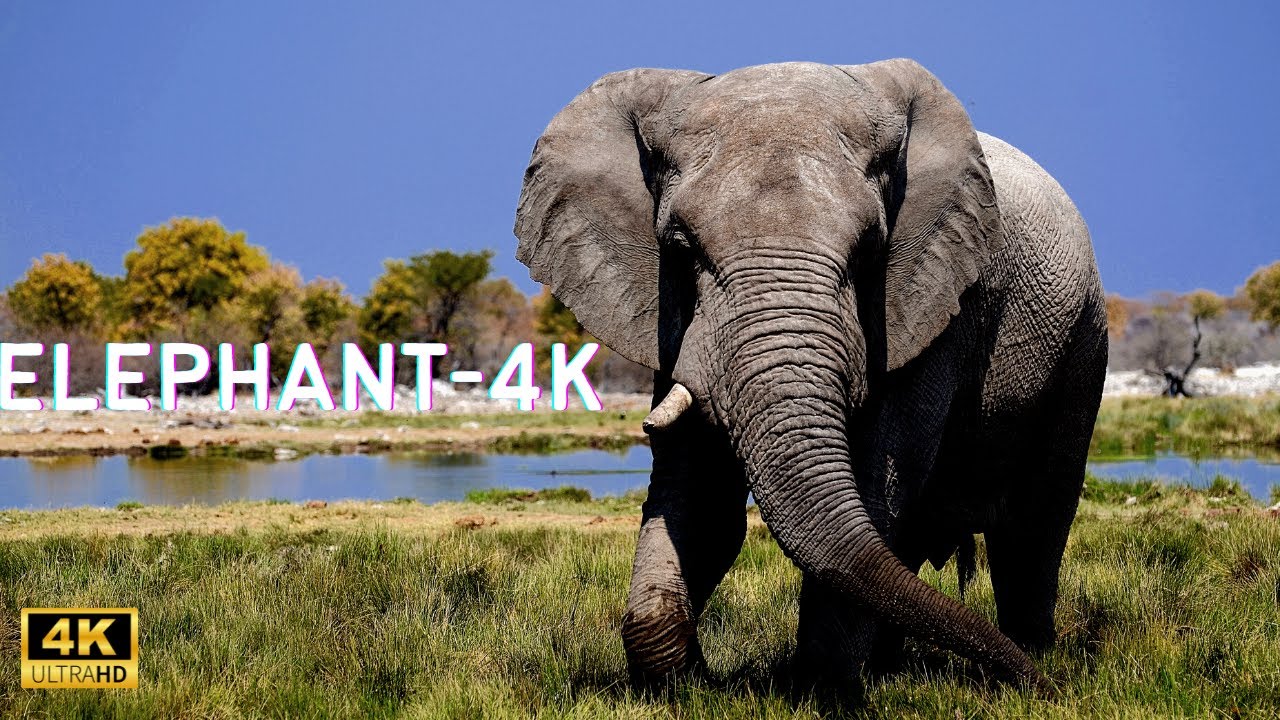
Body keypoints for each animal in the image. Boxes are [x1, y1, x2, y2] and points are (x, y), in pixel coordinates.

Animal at [513, 59, 1107, 691]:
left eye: (869, 250)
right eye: (682, 250)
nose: (1040, 688)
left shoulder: (938, 302)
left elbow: (878, 476)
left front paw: (820, 687)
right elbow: (699, 493)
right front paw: (689, 682)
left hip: (1084, 339)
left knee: (1034, 521)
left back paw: (1031, 651)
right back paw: (907, 667)